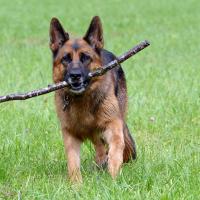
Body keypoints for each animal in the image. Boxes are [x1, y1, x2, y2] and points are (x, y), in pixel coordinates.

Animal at [49, 16, 137, 184]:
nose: (75, 76)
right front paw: (76, 185)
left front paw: (113, 176)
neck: (82, 99)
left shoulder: (113, 124)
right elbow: (73, 162)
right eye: (65, 59)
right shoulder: (70, 134)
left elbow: (116, 148)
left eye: (85, 58)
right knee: (99, 145)